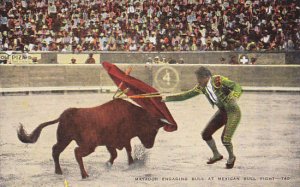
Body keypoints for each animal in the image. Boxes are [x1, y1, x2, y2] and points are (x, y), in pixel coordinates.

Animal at [17, 98, 166, 178]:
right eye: (154, 130)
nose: (150, 145)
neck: (133, 115)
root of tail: (65, 114)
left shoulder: (111, 142)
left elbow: (116, 154)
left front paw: (109, 163)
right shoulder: (123, 139)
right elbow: (127, 150)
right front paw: (131, 163)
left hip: (64, 139)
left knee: (56, 150)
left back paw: (59, 171)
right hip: (89, 144)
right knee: (76, 152)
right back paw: (84, 174)